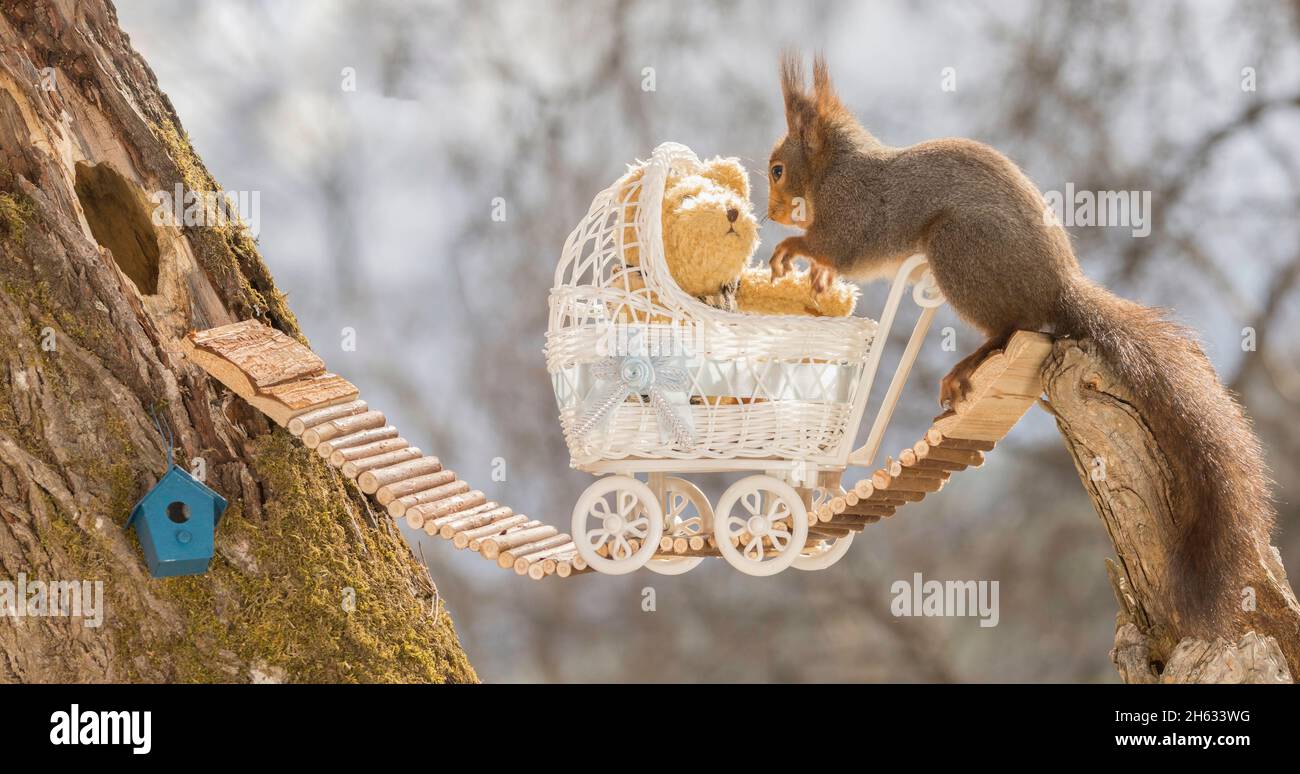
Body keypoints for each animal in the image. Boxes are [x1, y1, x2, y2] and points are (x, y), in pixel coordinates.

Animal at [764, 51, 1274, 640]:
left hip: (959, 250)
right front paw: (817, 277)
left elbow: (838, 247)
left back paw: (973, 362)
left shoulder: (855, 212)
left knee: (1015, 326)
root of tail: (1060, 287)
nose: (771, 213)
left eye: (778, 170)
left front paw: (792, 249)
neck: (836, 167)